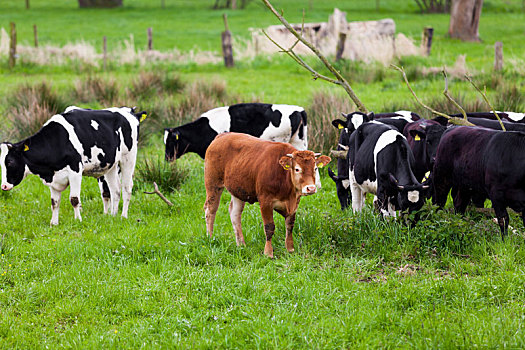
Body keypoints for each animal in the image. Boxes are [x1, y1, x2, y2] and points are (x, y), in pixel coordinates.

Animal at [0, 106, 144, 226]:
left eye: (10, 162)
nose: (4, 186)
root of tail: (129, 111)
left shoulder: (75, 171)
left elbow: (74, 199)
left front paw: (78, 220)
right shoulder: (53, 177)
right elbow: (54, 202)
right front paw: (54, 223)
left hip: (128, 158)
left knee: (126, 188)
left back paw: (123, 216)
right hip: (111, 165)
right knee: (115, 190)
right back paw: (113, 216)